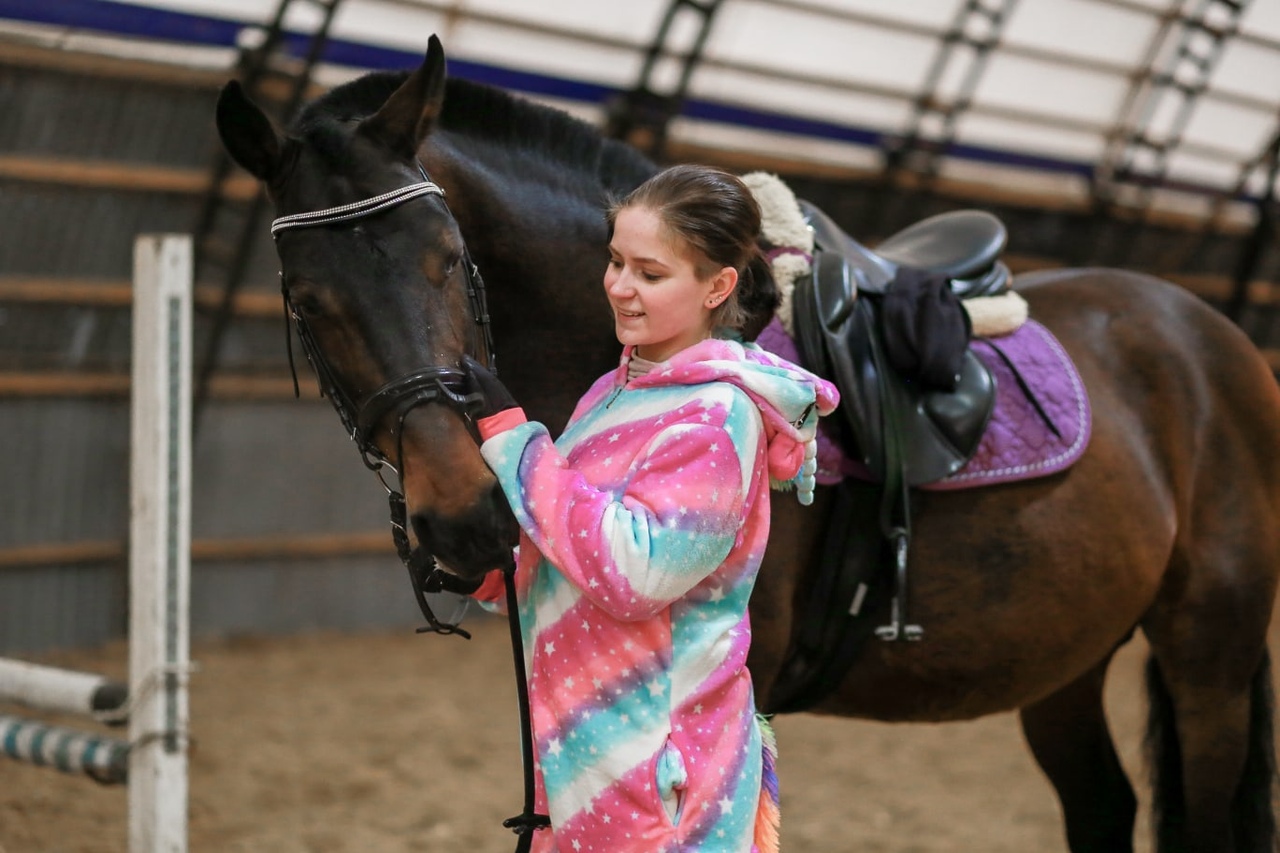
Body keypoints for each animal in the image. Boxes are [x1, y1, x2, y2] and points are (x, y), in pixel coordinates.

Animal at [215, 38, 1280, 850]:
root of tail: (1215, 336)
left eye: (450, 261)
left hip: (1211, 656)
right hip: (1067, 654)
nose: (466, 517)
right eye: (306, 300)